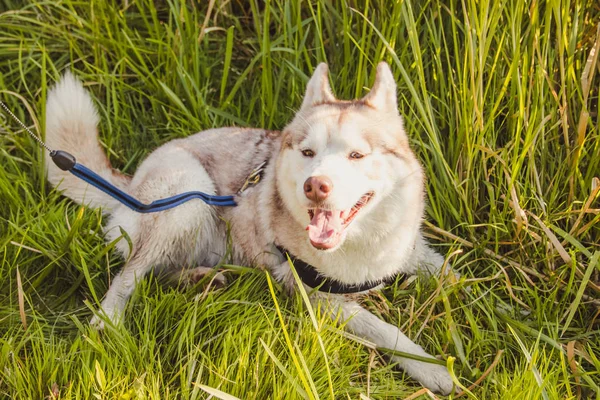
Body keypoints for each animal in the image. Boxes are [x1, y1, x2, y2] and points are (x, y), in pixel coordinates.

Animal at [44, 62, 454, 394]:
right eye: (307, 153)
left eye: (357, 155)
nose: (315, 186)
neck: (363, 243)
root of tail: (130, 185)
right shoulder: (317, 297)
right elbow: (385, 330)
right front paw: (433, 369)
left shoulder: (414, 252)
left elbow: (451, 274)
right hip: (188, 195)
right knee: (129, 274)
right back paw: (107, 324)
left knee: (160, 272)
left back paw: (199, 280)